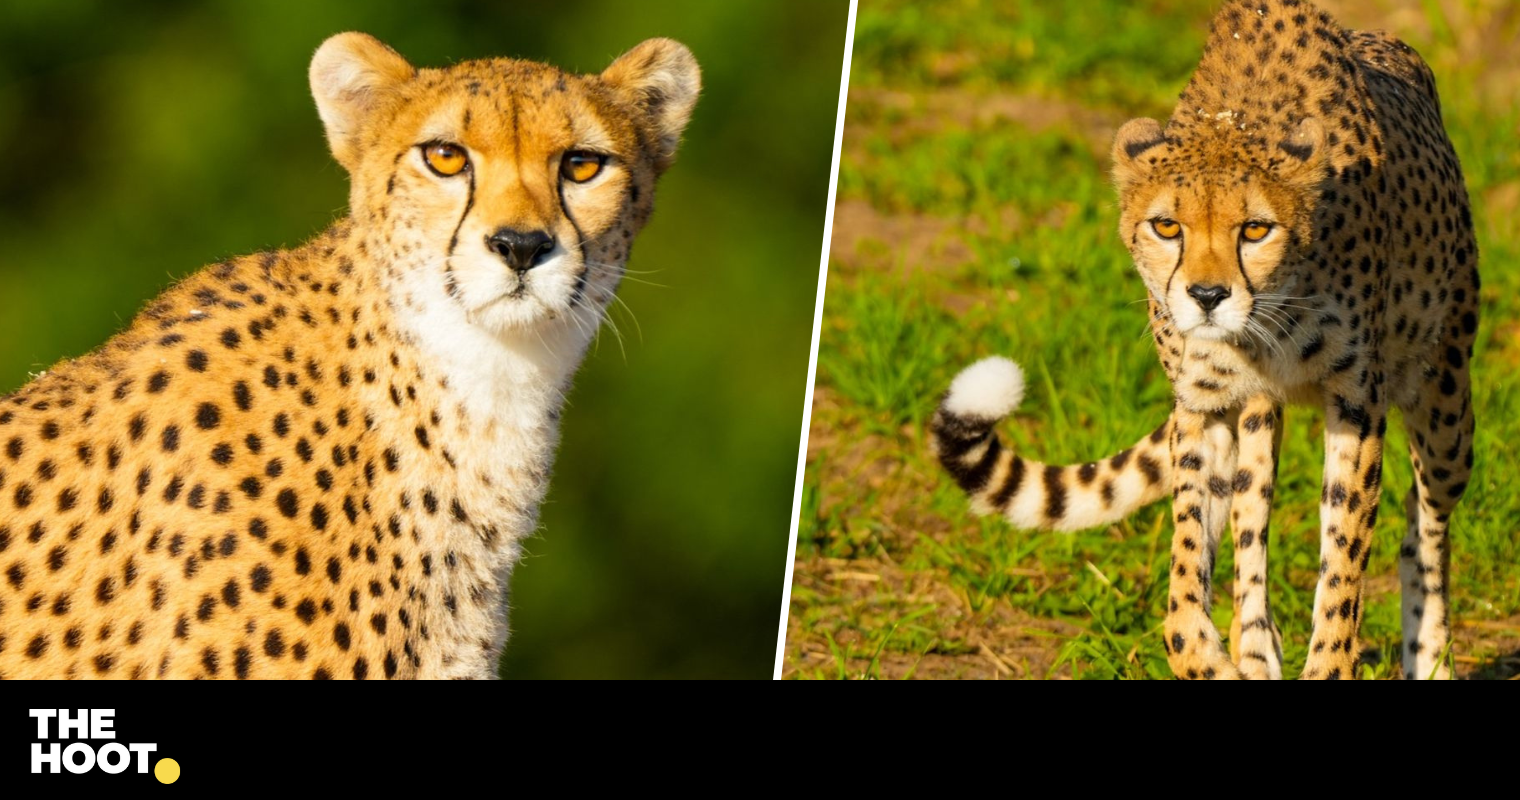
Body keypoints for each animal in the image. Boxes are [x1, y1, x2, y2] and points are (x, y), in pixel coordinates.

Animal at [930, 0, 1477, 681]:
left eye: (1256, 228)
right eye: (1167, 226)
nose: (1208, 296)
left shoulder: (1358, 403)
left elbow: (1342, 567)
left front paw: (1329, 658)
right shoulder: (1206, 405)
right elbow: (1190, 574)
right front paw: (1215, 656)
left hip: (1447, 407)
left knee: (1421, 519)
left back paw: (1427, 654)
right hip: (1261, 419)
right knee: (1251, 527)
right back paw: (1256, 646)